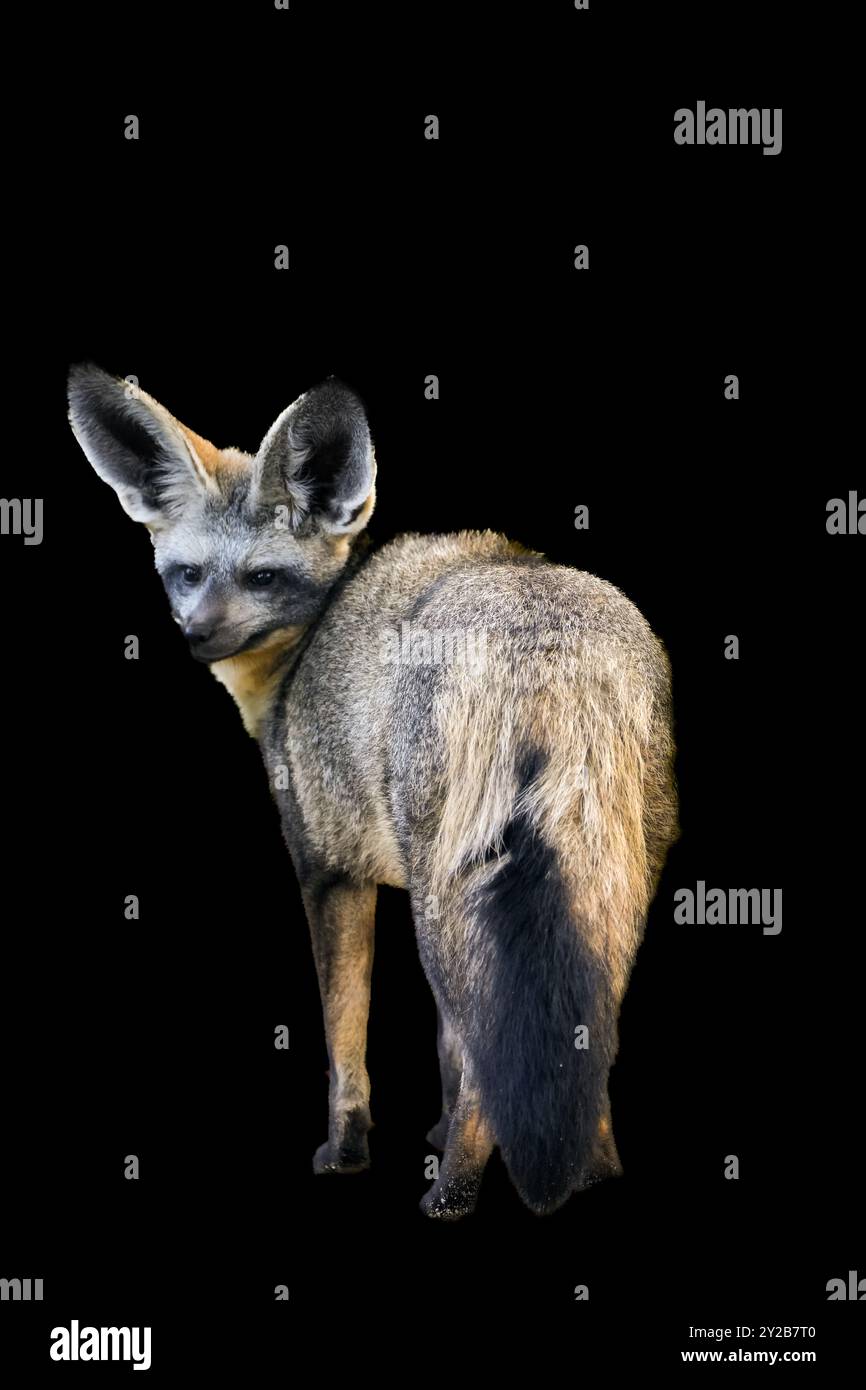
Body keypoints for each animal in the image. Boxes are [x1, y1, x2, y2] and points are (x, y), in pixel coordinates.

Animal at [67, 364, 679, 1220]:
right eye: (187, 575)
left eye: (262, 577)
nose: (198, 636)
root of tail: (543, 626)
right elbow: (448, 1048)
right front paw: (438, 1131)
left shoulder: (329, 871)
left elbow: (346, 1034)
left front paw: (348, 1150)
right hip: (607, 889)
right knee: (590, 1041)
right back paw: (594, 1171)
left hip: (446, 903)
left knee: (487, 1048)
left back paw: (453, 1194)